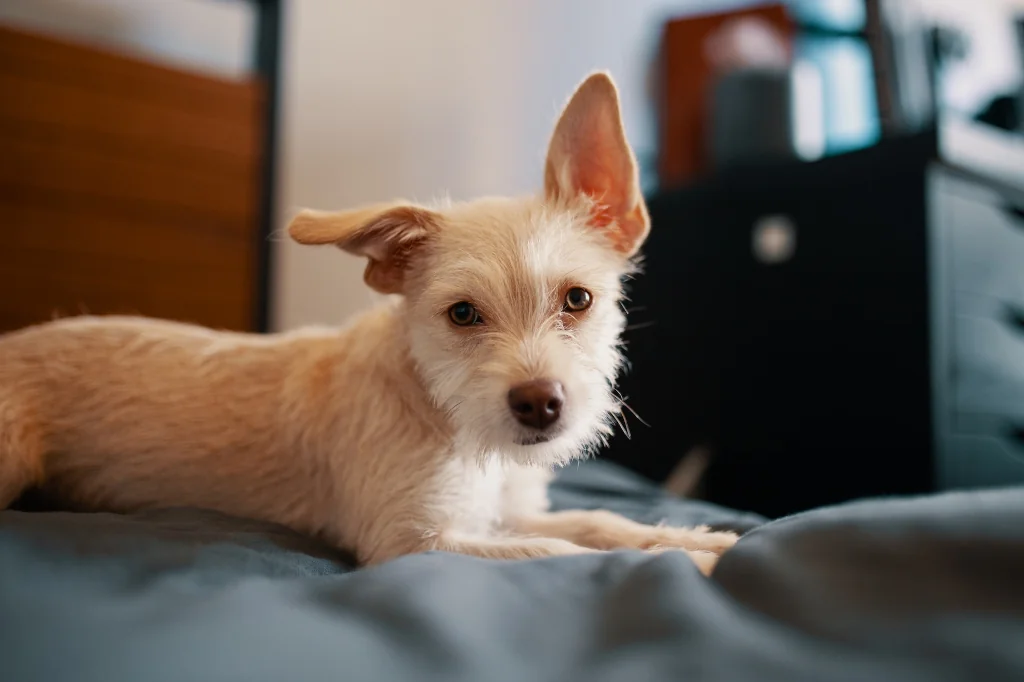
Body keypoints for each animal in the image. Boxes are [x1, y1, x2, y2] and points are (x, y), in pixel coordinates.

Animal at [0, 71, 737, 573]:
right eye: (462, 314)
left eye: (577, 300)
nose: (540, 404)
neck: (449, 421)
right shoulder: (413, 542)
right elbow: (561, 551)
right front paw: (687, 561)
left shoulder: (506, 512)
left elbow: (600, 522)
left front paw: (701, 539)